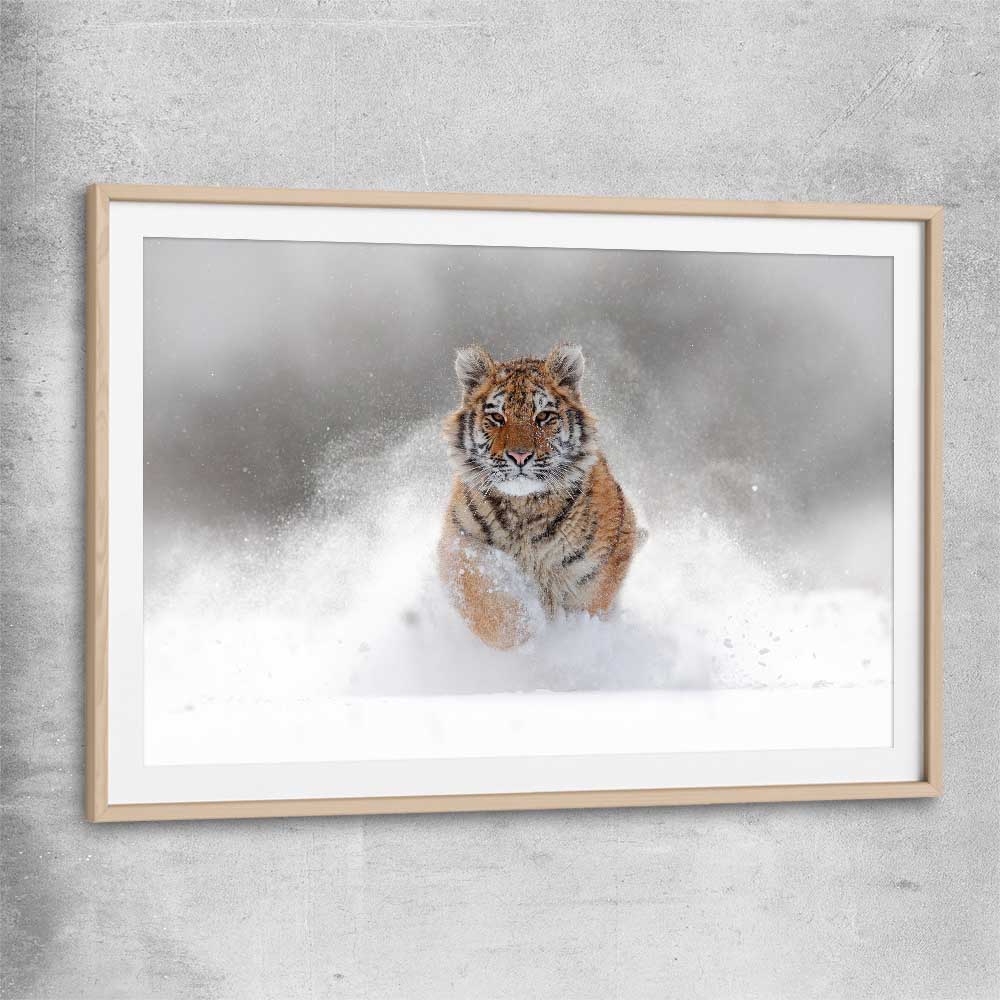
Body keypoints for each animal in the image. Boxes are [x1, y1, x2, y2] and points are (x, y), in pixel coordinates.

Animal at [438, 343, 642, 650]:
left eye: (543, 416)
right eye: (497, 418)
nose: (520, 456)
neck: (524, 508)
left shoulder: (597, 568)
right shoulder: (460, 544)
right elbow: (487, 603)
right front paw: (524, 637)